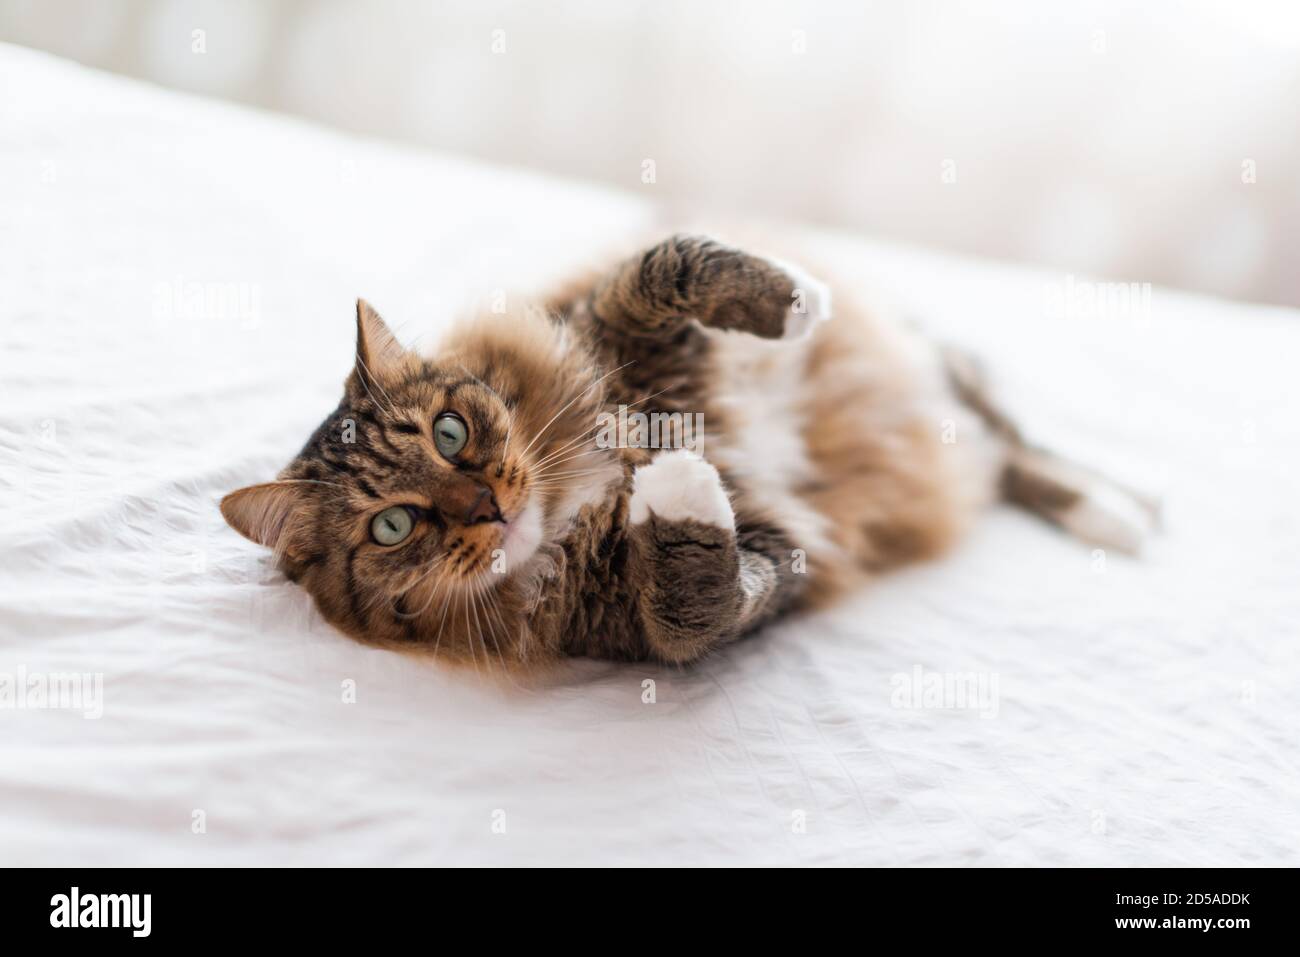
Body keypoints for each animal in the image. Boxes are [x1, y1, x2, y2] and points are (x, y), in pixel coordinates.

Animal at [218, 234, 1154, 665]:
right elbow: (694, 593)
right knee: (1007, 456)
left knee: (1015, 441)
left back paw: (1124, 511)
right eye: (394, 527)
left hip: (948, 378)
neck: (588, 487)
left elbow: (665, 266)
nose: (487, 506)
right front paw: (678, 487)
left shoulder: (624, 337)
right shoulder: (735, 578)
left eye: (451, 433)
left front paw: (796, 300)